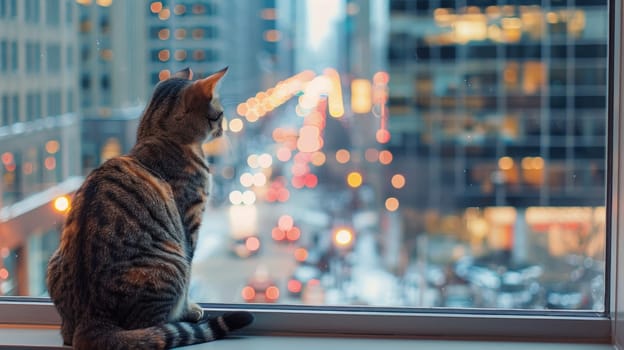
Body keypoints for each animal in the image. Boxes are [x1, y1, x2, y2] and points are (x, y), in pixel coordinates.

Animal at [45, 67, 256, 348]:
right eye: (219, 115)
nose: (223, 128)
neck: (157, 136)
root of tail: (91, 320)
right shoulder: (189, 223)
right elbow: (190, 277)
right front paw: (190, 308)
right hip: (171, 263)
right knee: (152, 327)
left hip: (55, 263)